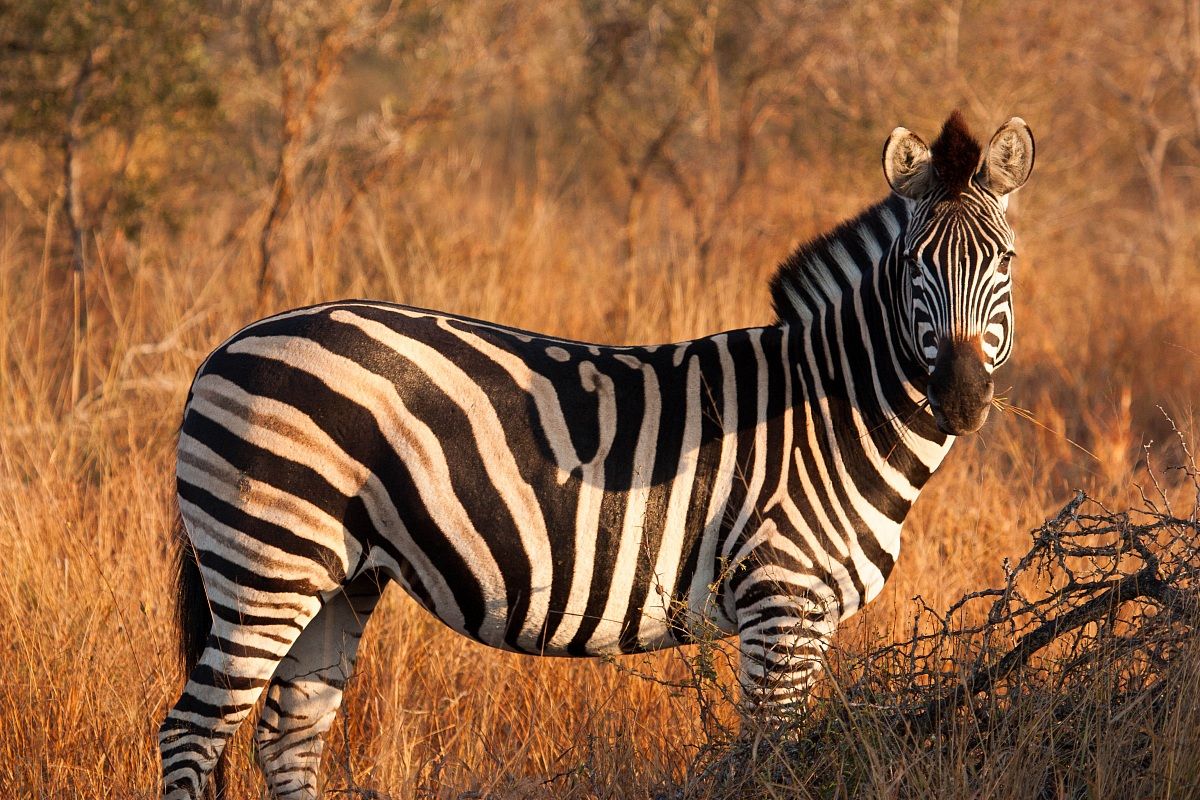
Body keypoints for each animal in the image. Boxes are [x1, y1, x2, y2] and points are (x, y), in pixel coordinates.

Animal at [158, 111, 1034, 799]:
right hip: (267, 561)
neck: (830, 413)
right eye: (913, 265)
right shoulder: (779, 601)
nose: (961, 399)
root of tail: (225, 347)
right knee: (189, 735)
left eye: (1006, 262)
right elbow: (767, 762)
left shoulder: (808, 617)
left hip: (341, 576)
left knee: (287, 735)